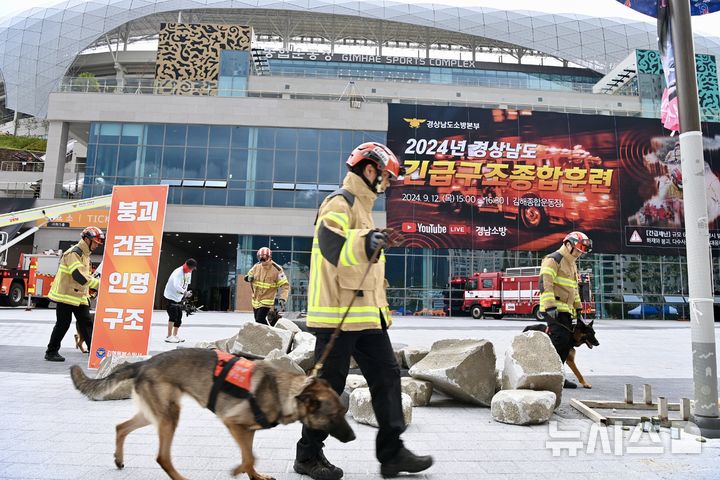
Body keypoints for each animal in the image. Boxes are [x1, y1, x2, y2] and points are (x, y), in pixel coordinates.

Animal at [69, 348, 356, 480]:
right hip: (169, 417)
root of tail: (145, 362)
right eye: (334, 416)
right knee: (162, 457)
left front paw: (254, 476)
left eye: (345, 411)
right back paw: (181, 478)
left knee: (121, 427)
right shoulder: (233, 423)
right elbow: (249, 457)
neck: (282, 391)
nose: (353, 438)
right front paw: (239, 469)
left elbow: (250, 457)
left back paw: (118, 460)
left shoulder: (247, 431)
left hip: (155, 414)